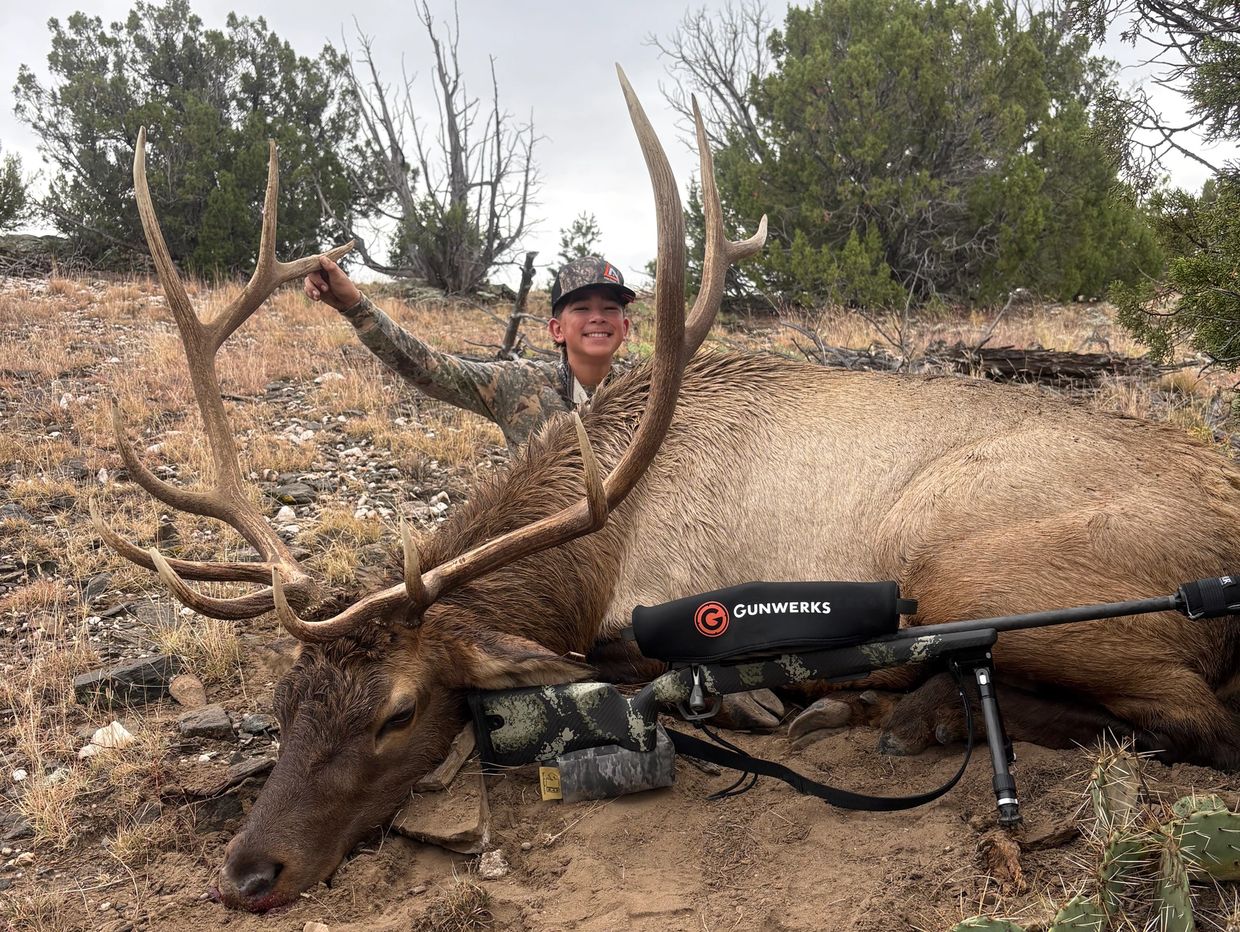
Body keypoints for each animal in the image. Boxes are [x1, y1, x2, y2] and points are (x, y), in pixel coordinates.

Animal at [94, 69, 1240, 913]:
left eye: (400, 710)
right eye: (286, 700)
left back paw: (899, 713)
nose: (248, 873)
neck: (599, 549)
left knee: (1186, 718)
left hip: (967, 561)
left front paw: (774, 700)